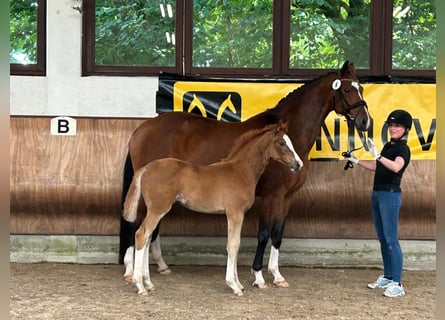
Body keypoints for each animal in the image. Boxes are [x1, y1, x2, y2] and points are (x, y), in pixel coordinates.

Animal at [121, 122, 302, 296]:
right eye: (282, 143)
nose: (298, 164)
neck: (241, 171)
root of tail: (145, 168)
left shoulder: (237, 214)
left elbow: (235, 245)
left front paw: (239, 284)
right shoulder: (235, 213)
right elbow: (233, 245)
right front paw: (234, 285)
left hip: (154, 209)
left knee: (147, 238)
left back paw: (148, 283)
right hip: (158, 209)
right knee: (142, 235)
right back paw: (140, 286)